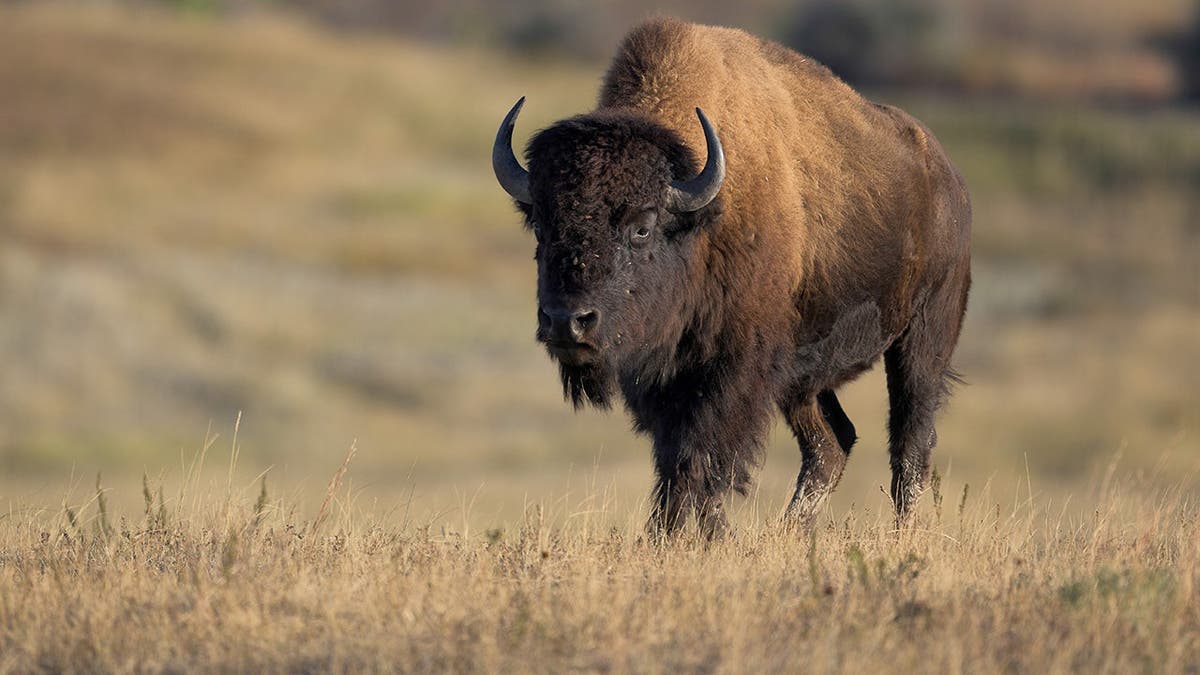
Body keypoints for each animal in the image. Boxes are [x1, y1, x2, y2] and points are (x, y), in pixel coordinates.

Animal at [493, 17, 971, 535]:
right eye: (541, 224)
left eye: (642, 227)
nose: (567, 322)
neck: (701, 219)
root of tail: (948, 176)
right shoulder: (664, 381)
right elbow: (675, 460)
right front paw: (675, 534)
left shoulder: (734, 371)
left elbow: (705, 457)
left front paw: (694, 536)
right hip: (804, 379)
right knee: (831, 443)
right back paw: (790, 532)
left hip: (923, 338)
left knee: (910, 443)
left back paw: (903, 533)